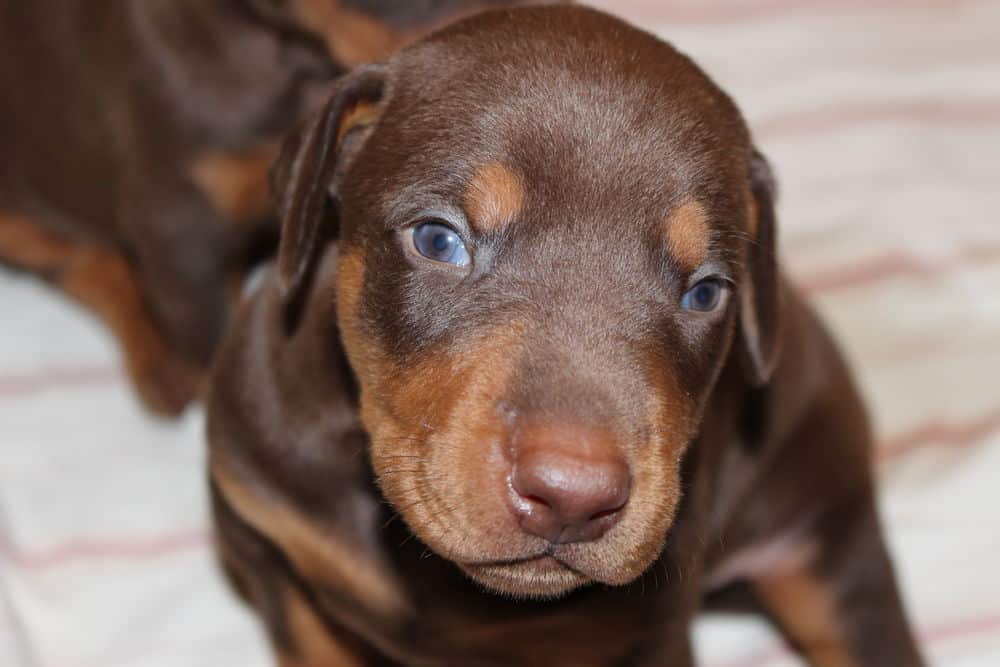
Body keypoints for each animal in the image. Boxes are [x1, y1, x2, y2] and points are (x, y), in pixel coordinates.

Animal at [207, 6, 924, 667]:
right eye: (438, 239)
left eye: (706, 292)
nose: (572, 499)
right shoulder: (262, 535)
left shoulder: (648, 633)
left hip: (827, 536)